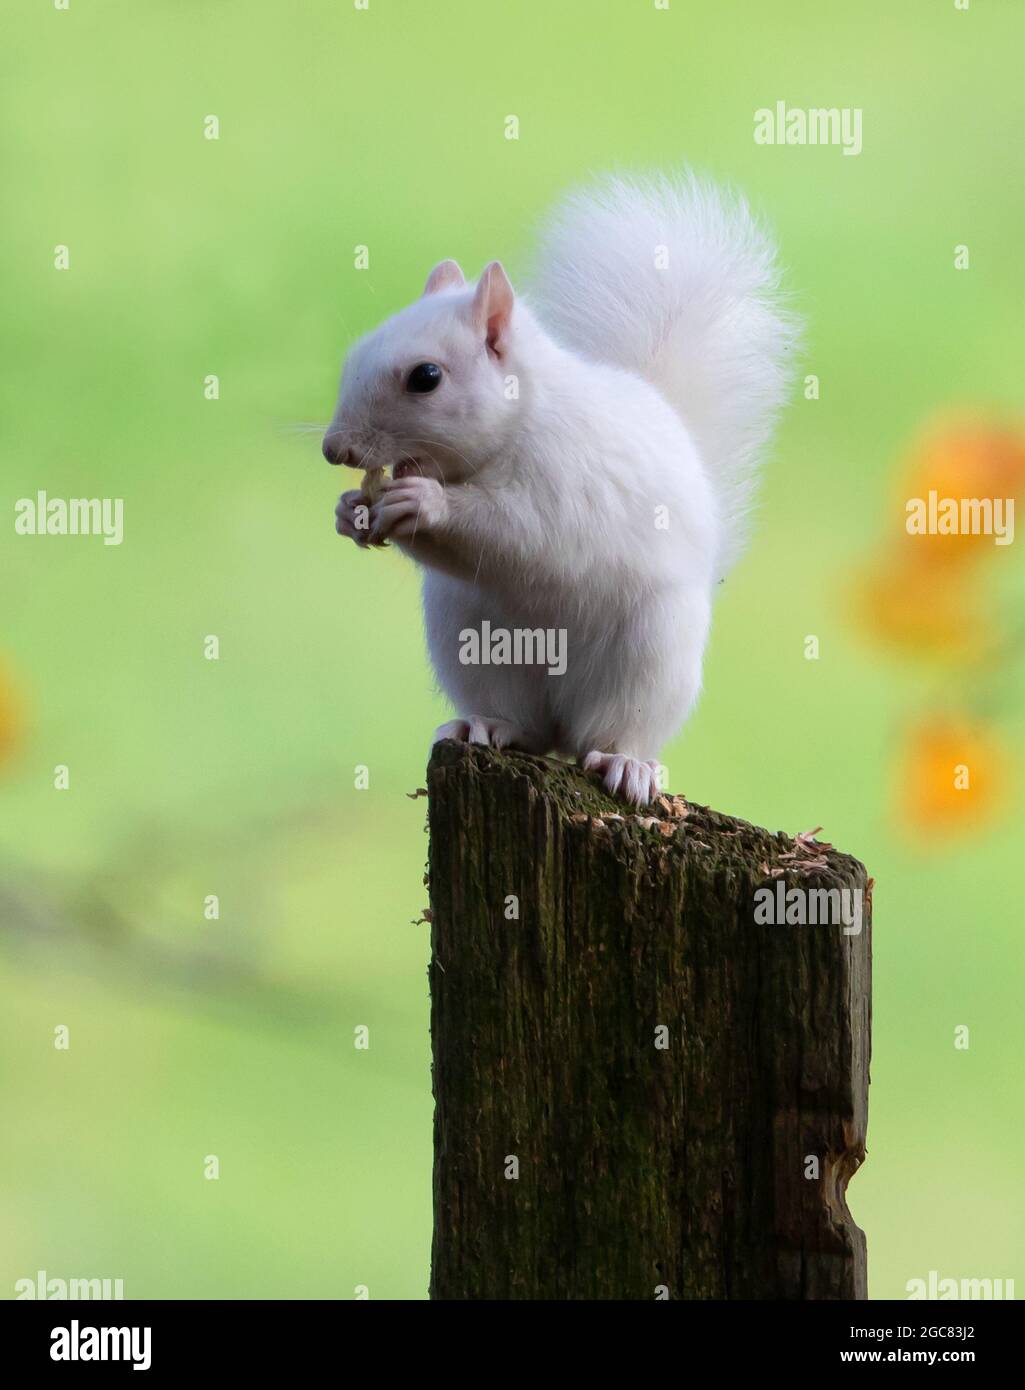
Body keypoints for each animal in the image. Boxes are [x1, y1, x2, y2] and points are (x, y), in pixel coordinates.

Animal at [324, 172, 798, 805]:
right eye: (356, 352)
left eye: (426, 377)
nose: (335, 450)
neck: (518, 422)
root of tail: (562, 724)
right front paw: (350, 510)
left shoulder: (567, 489)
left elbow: (523, 535)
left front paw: (421, 503)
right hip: (474, 643)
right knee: (522, 724)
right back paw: (486, 726)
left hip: (648, 657)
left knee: (613, 732)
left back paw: (627, 764)